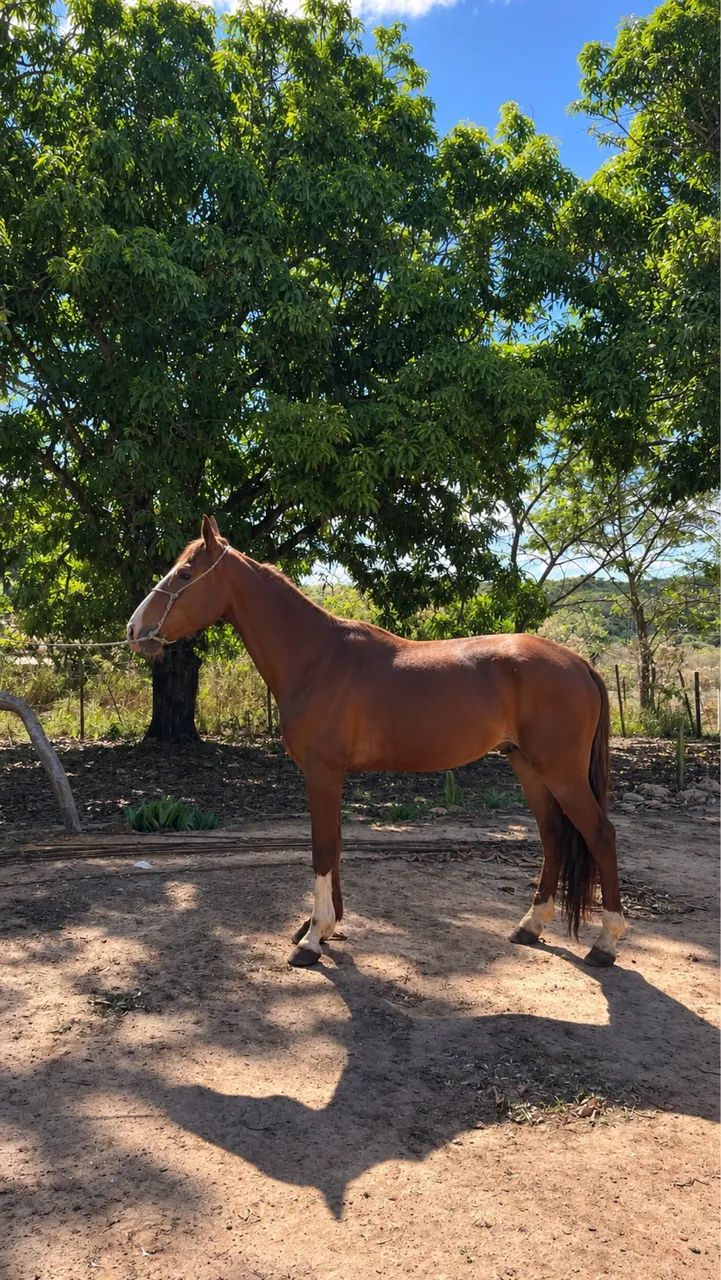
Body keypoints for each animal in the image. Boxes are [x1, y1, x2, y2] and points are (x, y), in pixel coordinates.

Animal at [127, 516, 626, 969]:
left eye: (185, 574)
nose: (134, 630)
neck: (318, 658)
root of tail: (580, 663)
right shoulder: (331, 776)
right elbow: (334, 845)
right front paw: (321, 928)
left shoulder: (322, 772)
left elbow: (322, 848)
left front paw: (312, 940)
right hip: (528, 766)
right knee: (553, 834)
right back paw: (530, 925)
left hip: (561, 773)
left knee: (600, 834)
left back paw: (605, 944)